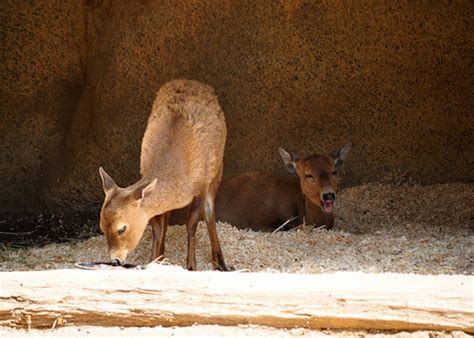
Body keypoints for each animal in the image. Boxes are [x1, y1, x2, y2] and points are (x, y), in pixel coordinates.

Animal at [97, 78, 230, 270]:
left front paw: (191, 266)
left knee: (209, 211)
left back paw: (220, 262)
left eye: (122, 228)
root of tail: (191, 80)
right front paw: (154, 261)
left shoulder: (202, 185)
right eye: (101, 226)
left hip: (218, 169)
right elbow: (158, 228)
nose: (116, 260)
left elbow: (192, 224)